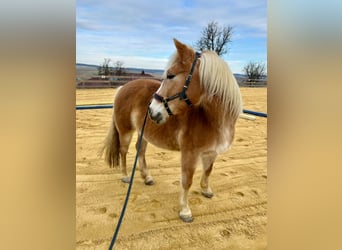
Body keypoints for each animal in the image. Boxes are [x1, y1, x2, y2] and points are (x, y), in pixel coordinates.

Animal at [101, 38, 243, 222]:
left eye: (170, 75)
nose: (152, 111)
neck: (212, 119)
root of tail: (122, 88)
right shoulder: (190, 154)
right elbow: (187, 181)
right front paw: (185, 211)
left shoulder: (212, 153)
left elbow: (208, 171)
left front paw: (206, 190)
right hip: (125, 131)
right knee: (123, 151)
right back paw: (125, 176)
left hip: (143, 132)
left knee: (140, 150)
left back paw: (147, 177)